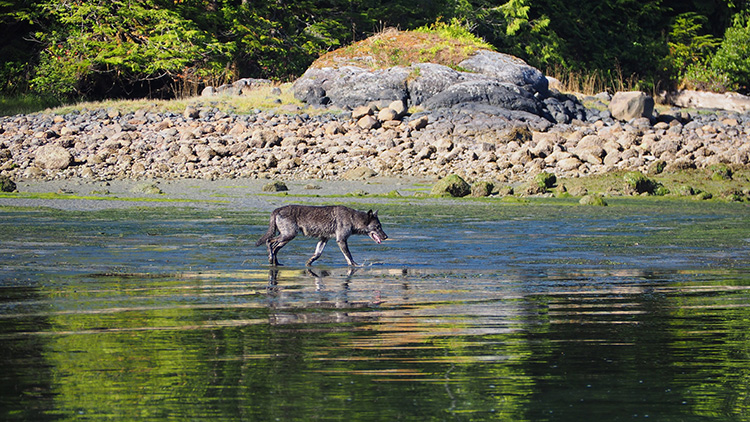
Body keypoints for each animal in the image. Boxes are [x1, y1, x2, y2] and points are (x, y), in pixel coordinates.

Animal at [256, 205, 388, 266]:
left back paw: (276, 263)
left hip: (286, 237)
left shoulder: (324, 239)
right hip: (288, 235)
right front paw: (355, 266)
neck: (352, 218)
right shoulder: (341, 240)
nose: (386, 237)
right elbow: (349, 256)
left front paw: (308, 264)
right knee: (269, 242)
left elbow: (317, 254)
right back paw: (270, 258)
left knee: (275, 248)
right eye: (378, 227)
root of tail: (277, 209)